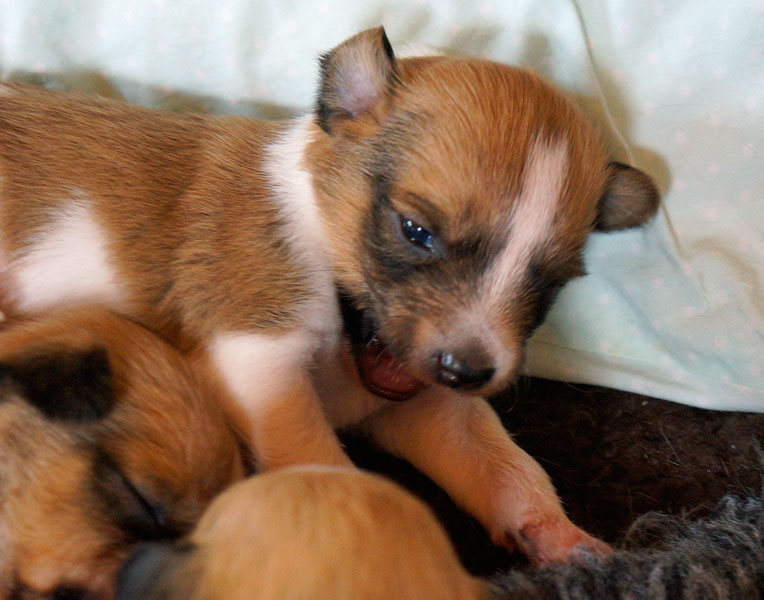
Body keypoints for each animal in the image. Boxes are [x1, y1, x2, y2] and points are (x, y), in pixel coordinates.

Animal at [0, 27, 659, 562]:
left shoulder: (424, 407)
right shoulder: (258, 360)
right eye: (415, 231)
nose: (466, 371)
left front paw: (566, 540)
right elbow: (326, 466)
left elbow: (505, 464)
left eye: (550, 281)